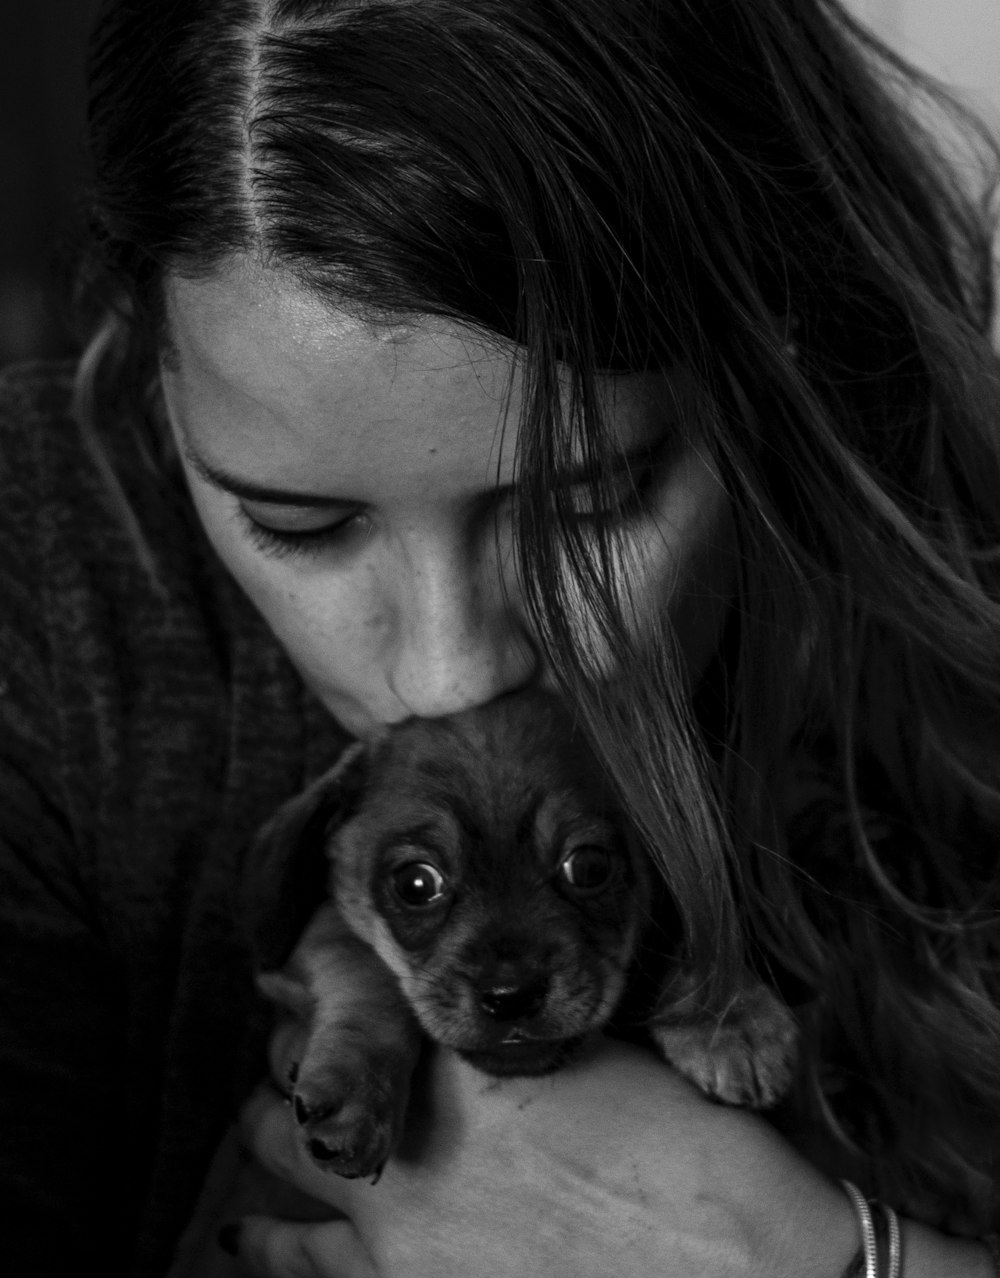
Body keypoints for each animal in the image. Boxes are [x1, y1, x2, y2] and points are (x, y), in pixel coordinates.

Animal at [250, 690, 797, 1175]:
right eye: (416, 884)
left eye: (589, 867)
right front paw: (359, 1087)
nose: (510, 996)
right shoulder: (305, 944)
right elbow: (365, 969)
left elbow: (692, 923)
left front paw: (727, 1015)